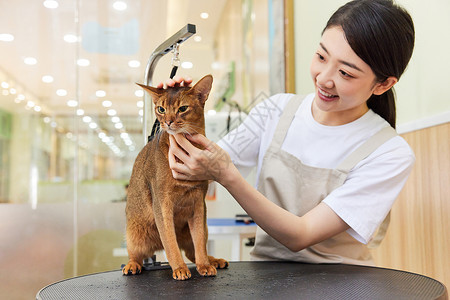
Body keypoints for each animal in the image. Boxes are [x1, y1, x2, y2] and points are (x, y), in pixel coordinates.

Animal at [121, 74, 229, 280]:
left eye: (183, 108)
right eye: (161, 109)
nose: (169, 122)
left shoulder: (198, 203)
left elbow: (199, 241)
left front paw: (204, 265)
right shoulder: (162, 203)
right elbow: (170, 243)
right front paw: (179, 268)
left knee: (192, 251)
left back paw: (214, 261)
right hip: (135, 232)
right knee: (137, 254)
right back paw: (132, 265)